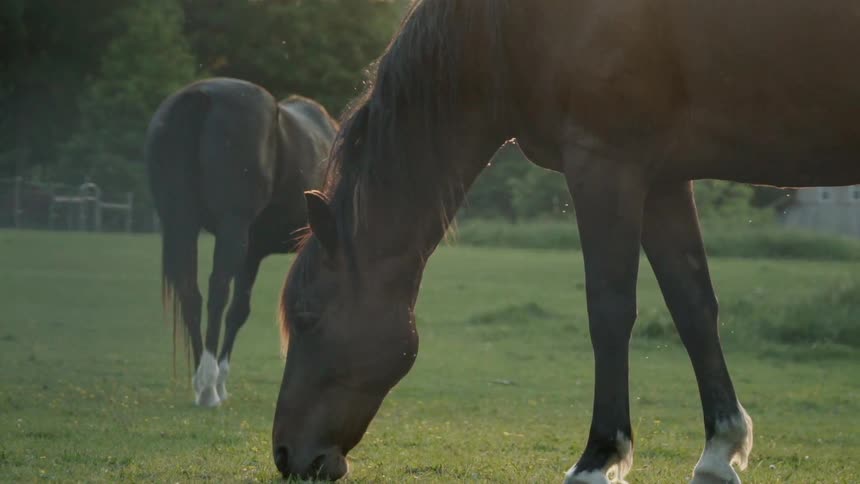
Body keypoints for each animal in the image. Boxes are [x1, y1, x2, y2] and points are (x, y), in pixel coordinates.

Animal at [145, 77, 338, 408]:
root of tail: (202, 95)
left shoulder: (253, 253)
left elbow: (239, 310)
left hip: (184, 223)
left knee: (191, 292)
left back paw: (203, 381)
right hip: (231, 228)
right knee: (216, 292)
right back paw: (208, 386)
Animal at [273, 1, 860, 481]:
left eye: (307, 316)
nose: (286, 456)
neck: (511, 28)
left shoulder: (605, 163)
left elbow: (610, 312)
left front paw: (599, 457)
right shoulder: (663, 179)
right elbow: (693, 308)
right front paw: (719, 453)